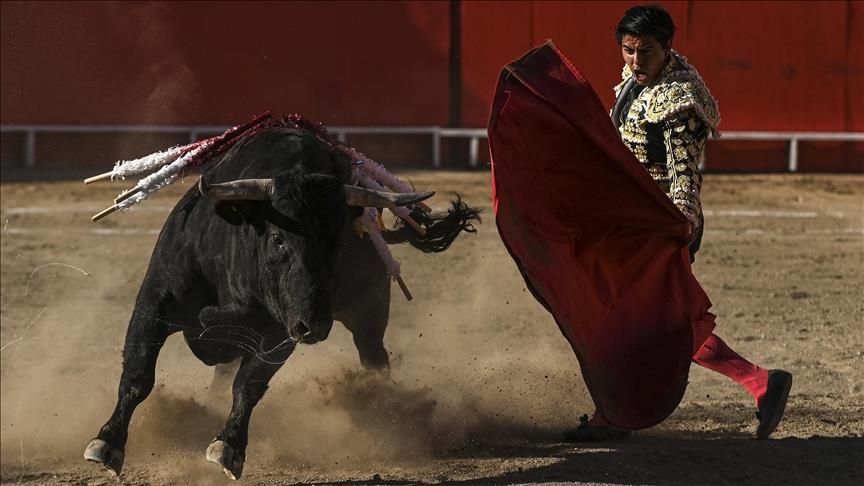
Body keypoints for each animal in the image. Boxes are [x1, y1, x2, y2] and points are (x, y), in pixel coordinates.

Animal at [84, 127, 482, 480]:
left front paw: (228, 447)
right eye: (277, 238)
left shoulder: (281, 332)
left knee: (374, 357)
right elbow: (138, 374)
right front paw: (106, 443)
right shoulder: (154, 301)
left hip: (367, 313)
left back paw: (382, 406)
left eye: (338, 242)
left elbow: (248, 385)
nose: (315, 325)